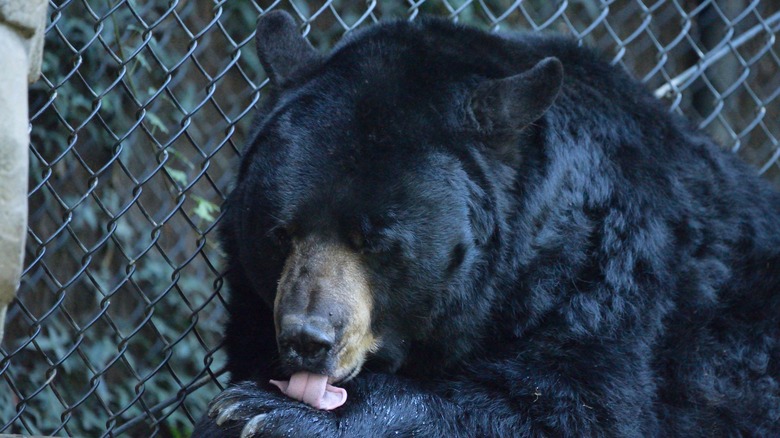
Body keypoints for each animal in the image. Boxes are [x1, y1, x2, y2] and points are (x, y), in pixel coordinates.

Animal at [192, 10, 776, 438]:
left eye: (376, 242)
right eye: (279, 234)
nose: (306, 340)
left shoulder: (607, 276)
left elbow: (572, 409)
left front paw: (271, 412)